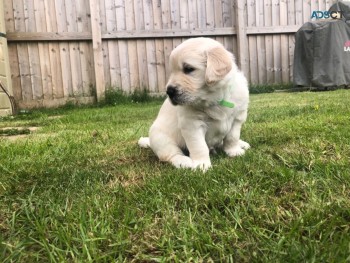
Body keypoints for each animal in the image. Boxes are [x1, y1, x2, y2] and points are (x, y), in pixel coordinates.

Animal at [138, 38, 250, 172]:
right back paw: (184, 161)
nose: (169, 91)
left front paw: (233, 151)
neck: (216, 99)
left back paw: (241, 143)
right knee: (171, 155)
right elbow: (199, 146)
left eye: (188, 69)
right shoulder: (192, 124)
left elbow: (232, 137)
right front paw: (201, 164)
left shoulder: (237, 118)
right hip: (161, 138)